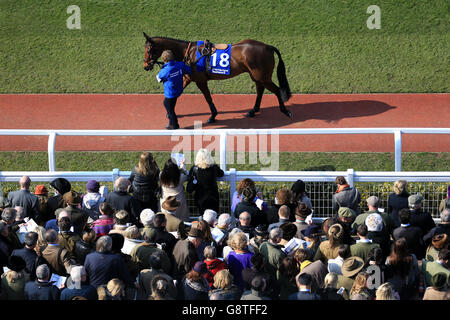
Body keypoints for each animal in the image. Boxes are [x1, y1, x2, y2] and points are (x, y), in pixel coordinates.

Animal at [142, 33, 294, 124]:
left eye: (148, 50)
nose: (145, 65)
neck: (189, 53)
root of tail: (268, 46)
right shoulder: (187, 77)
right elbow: (176, 93)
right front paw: (170, 113)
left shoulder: (200, 81)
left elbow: (208, 98)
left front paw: (213, 116)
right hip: (257, 76)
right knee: (260, 90)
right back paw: (253, 111)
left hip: (263, 76)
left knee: (277, 90)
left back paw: (285, 111)